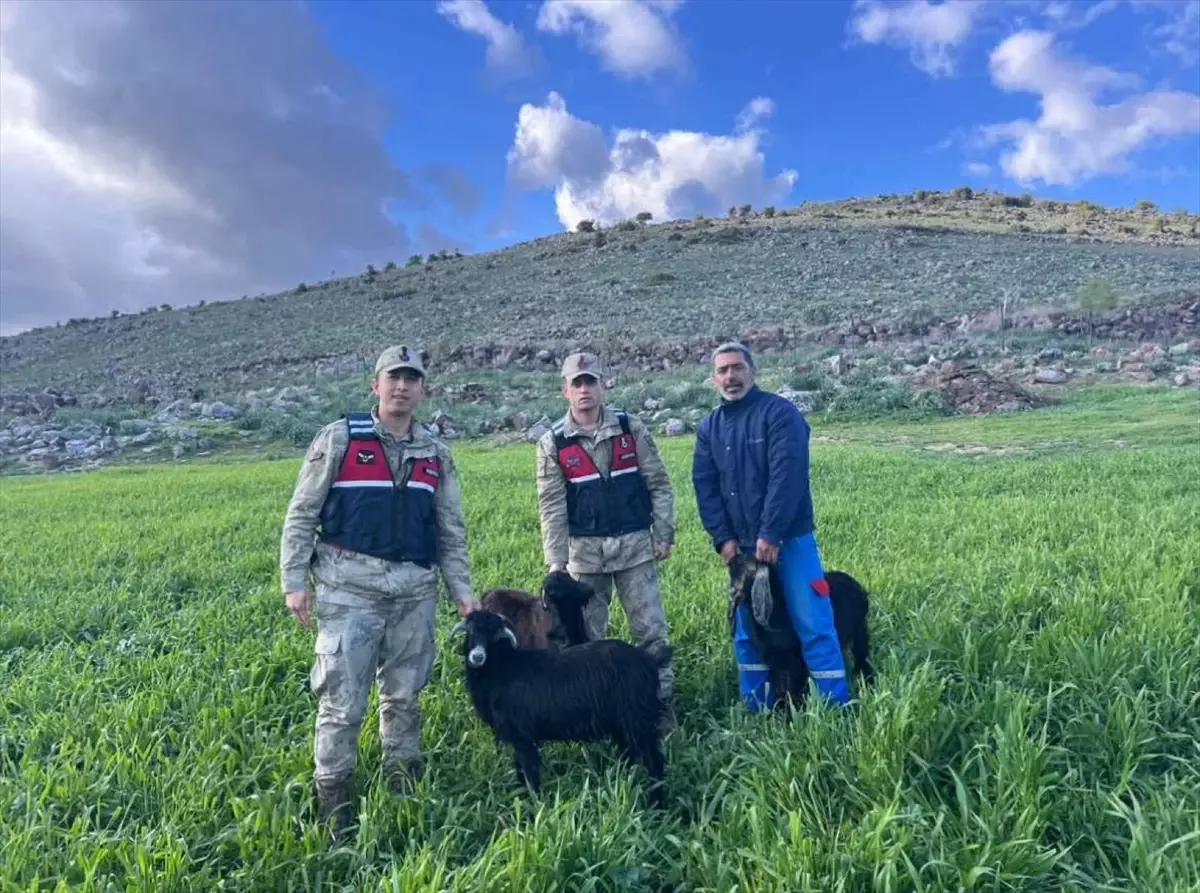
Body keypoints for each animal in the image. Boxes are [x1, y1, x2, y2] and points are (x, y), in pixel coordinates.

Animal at [451, 607, 676, 811]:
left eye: (494, 634)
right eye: (471, 631)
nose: (477, 657)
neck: (503, 668)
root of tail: (648, 660)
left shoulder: (523, 735)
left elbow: (529, 771)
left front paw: (534, 807)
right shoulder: (518, 737)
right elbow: (520, 770)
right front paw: (520, 798)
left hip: (638, 719)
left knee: (654, 760)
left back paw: (656, 804)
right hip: (623, 722)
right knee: (630, 752)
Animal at [724, 552, 878, 710]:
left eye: (741, 565)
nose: (730, 558)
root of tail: (858, 586)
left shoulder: (794, 660)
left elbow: (792, 688)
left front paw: (792, 711)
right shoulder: (774, 659)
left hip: (860, 632)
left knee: (862, 658)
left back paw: (867, 684)